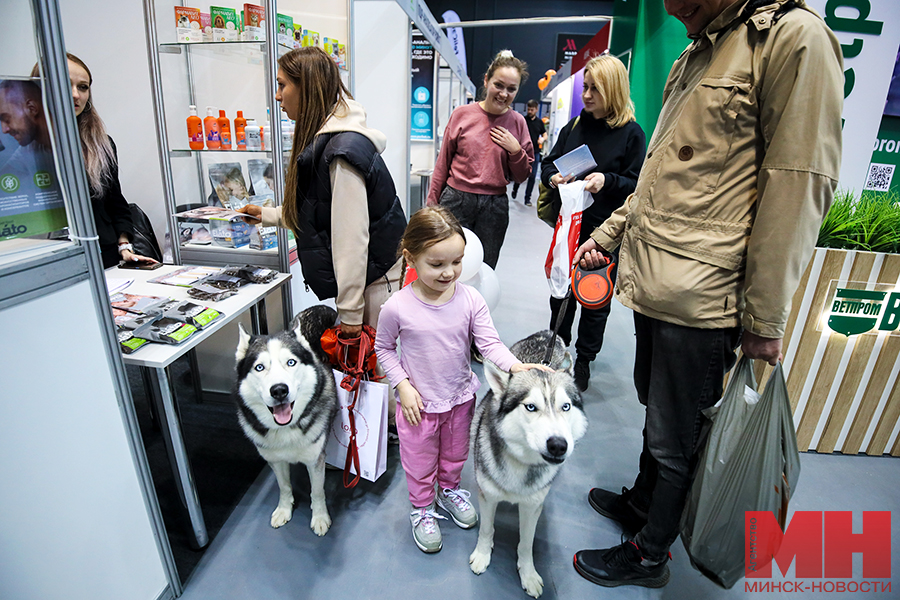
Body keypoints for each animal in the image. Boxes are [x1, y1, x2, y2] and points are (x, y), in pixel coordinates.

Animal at [236, 304, 338, 536]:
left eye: (291, 363)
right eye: (259, 367)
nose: (279, 390)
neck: (286, 429)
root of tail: (322, 306)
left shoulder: (314, 459)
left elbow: (317, 492)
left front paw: (320, 517)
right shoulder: (275, 459)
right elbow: (284, 487)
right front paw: (284, 509)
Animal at [468, 330, 588, 596]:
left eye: (566, 406)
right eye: (531, 407)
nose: (558, 445)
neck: (521, 464)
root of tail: (547, 334)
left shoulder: (532, 506)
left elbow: (526, 543)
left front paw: (528, 574)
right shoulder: (487, 496)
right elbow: (486, 529)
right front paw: (482, 555)